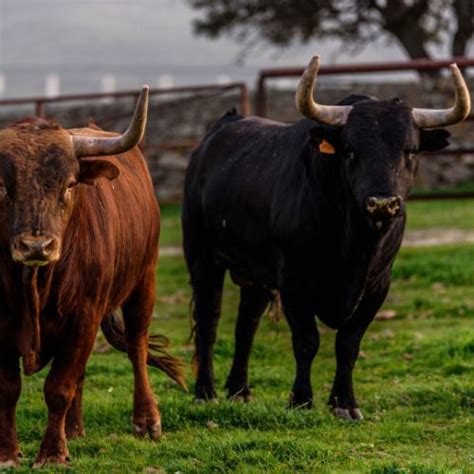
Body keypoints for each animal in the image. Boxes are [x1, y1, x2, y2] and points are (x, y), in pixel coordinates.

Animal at [0, 87, 184, 468]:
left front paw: (52, 455)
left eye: (69, 185)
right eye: (3, 187)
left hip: (144, 280)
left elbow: (58, 388)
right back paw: (74, 429)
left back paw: (147, 421)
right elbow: (9, 389)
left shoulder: (83, 315)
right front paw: (9, 453)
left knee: (137, 346)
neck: (35, 285)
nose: (36, 245)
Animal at [183, 95, 458, 418]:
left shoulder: (378, 284)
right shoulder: (293, 281)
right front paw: (301, 400)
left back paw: (239, 391)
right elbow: (307, 341)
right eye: (351, 150)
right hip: (201, 256)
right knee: (208, 320)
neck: (355, 245)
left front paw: (345, 403)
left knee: (246, 324)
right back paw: (205, 392)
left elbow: (348, 343)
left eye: (411, 150)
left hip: (255, 274)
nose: (382, 203)